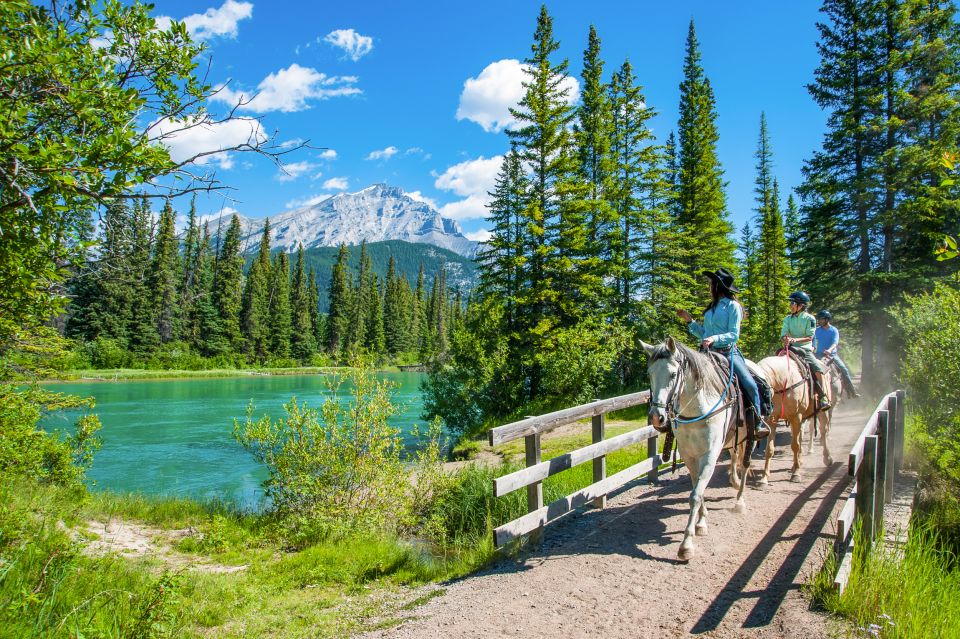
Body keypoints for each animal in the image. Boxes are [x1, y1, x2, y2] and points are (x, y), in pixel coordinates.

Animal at [640, 338, 752, 564]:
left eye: (673, 374)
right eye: (649, 374)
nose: (657, 417)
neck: (698, 410)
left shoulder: (709, 455)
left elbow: (694, 495)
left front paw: (686, 545)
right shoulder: (689, 455)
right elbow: (698, 490)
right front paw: (701, 523)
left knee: (746, 464)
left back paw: (740, 501)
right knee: (736, 456)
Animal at [748, 352, 828, 482]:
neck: (781, 383)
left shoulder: (796, 417)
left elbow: (795, 446)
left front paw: (796, 474)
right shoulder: (772, 420)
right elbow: (770, 449)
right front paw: (764, 478)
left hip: (821, 412)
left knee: (823, 431)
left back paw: (827, 458)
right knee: (801, 438)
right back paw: (797, 463)